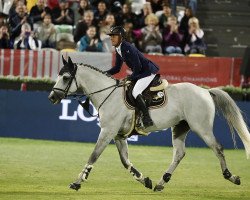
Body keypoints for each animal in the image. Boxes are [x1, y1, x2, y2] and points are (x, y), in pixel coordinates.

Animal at [47, 57, 250, 191]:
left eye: (66, 78)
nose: (52, 97)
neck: (107, 94)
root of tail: (205, 91)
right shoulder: (119, 136)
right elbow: (125, 162)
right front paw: (144, 180)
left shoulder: (107, 132)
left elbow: (93, 156)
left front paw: (78, 181)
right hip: (180, 128)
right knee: (179, 154)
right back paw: (161, 182)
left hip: (202, 128)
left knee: (218, 148)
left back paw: (231, 177)